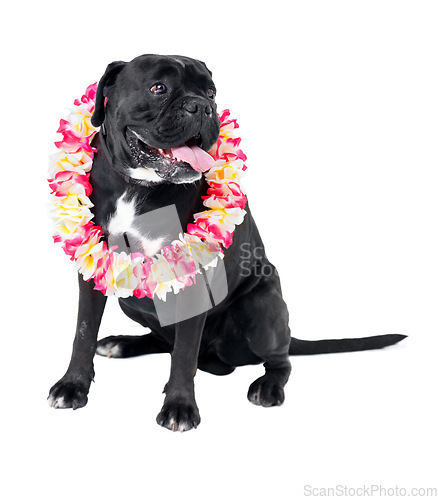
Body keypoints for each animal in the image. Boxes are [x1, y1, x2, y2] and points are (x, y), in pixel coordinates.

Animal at [47, 53, 404, 430]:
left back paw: (267, 387)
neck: (137, 187)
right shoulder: (92, 269)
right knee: (164, 339)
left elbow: (184, 353)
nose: (202, 107)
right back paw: (122, 343)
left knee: (278, 359)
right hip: (133, 303)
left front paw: (179, 406)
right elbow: (83, 331)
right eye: (158, 88)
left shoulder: (193, 278)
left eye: (211, 92)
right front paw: (72, 385)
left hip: (259, 307)